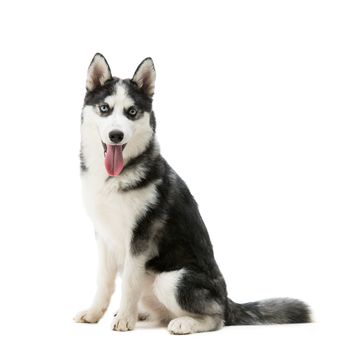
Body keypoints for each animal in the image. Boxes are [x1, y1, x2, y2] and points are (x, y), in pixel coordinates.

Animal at [74, 54, 308, 334]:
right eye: (104, 108)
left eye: (131, 112)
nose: (116, 135)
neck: (115, 176)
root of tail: (227, 301)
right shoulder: (104, 235)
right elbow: (104, 281)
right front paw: (94, 313)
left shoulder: (140, 238)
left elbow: (129, 281)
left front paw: (124, 320)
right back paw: (143, 314)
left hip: (173, 279)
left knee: (216, 319)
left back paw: (184, 322)